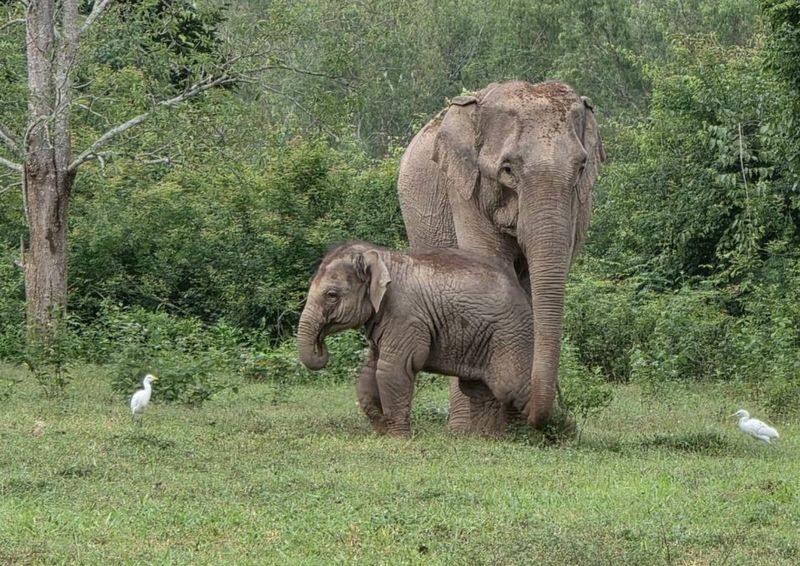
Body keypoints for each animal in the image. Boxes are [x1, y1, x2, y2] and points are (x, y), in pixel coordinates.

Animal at [296, 241, 533, 437]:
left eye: (331, 295)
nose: (320, 343)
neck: (381, 257)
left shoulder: (404, 315)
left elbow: (393, 368)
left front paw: (399, 439)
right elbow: (371, 368)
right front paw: (382, 431)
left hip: (509, 334)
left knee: (511, 385)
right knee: (478, 389)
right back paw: (484, 437)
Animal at [397, 80, 605, 431]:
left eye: (581, 167)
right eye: (507, 169)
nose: (557, 422)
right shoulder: (465, 190)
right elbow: (490, 267)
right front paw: (488, 430)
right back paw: (462, 428)